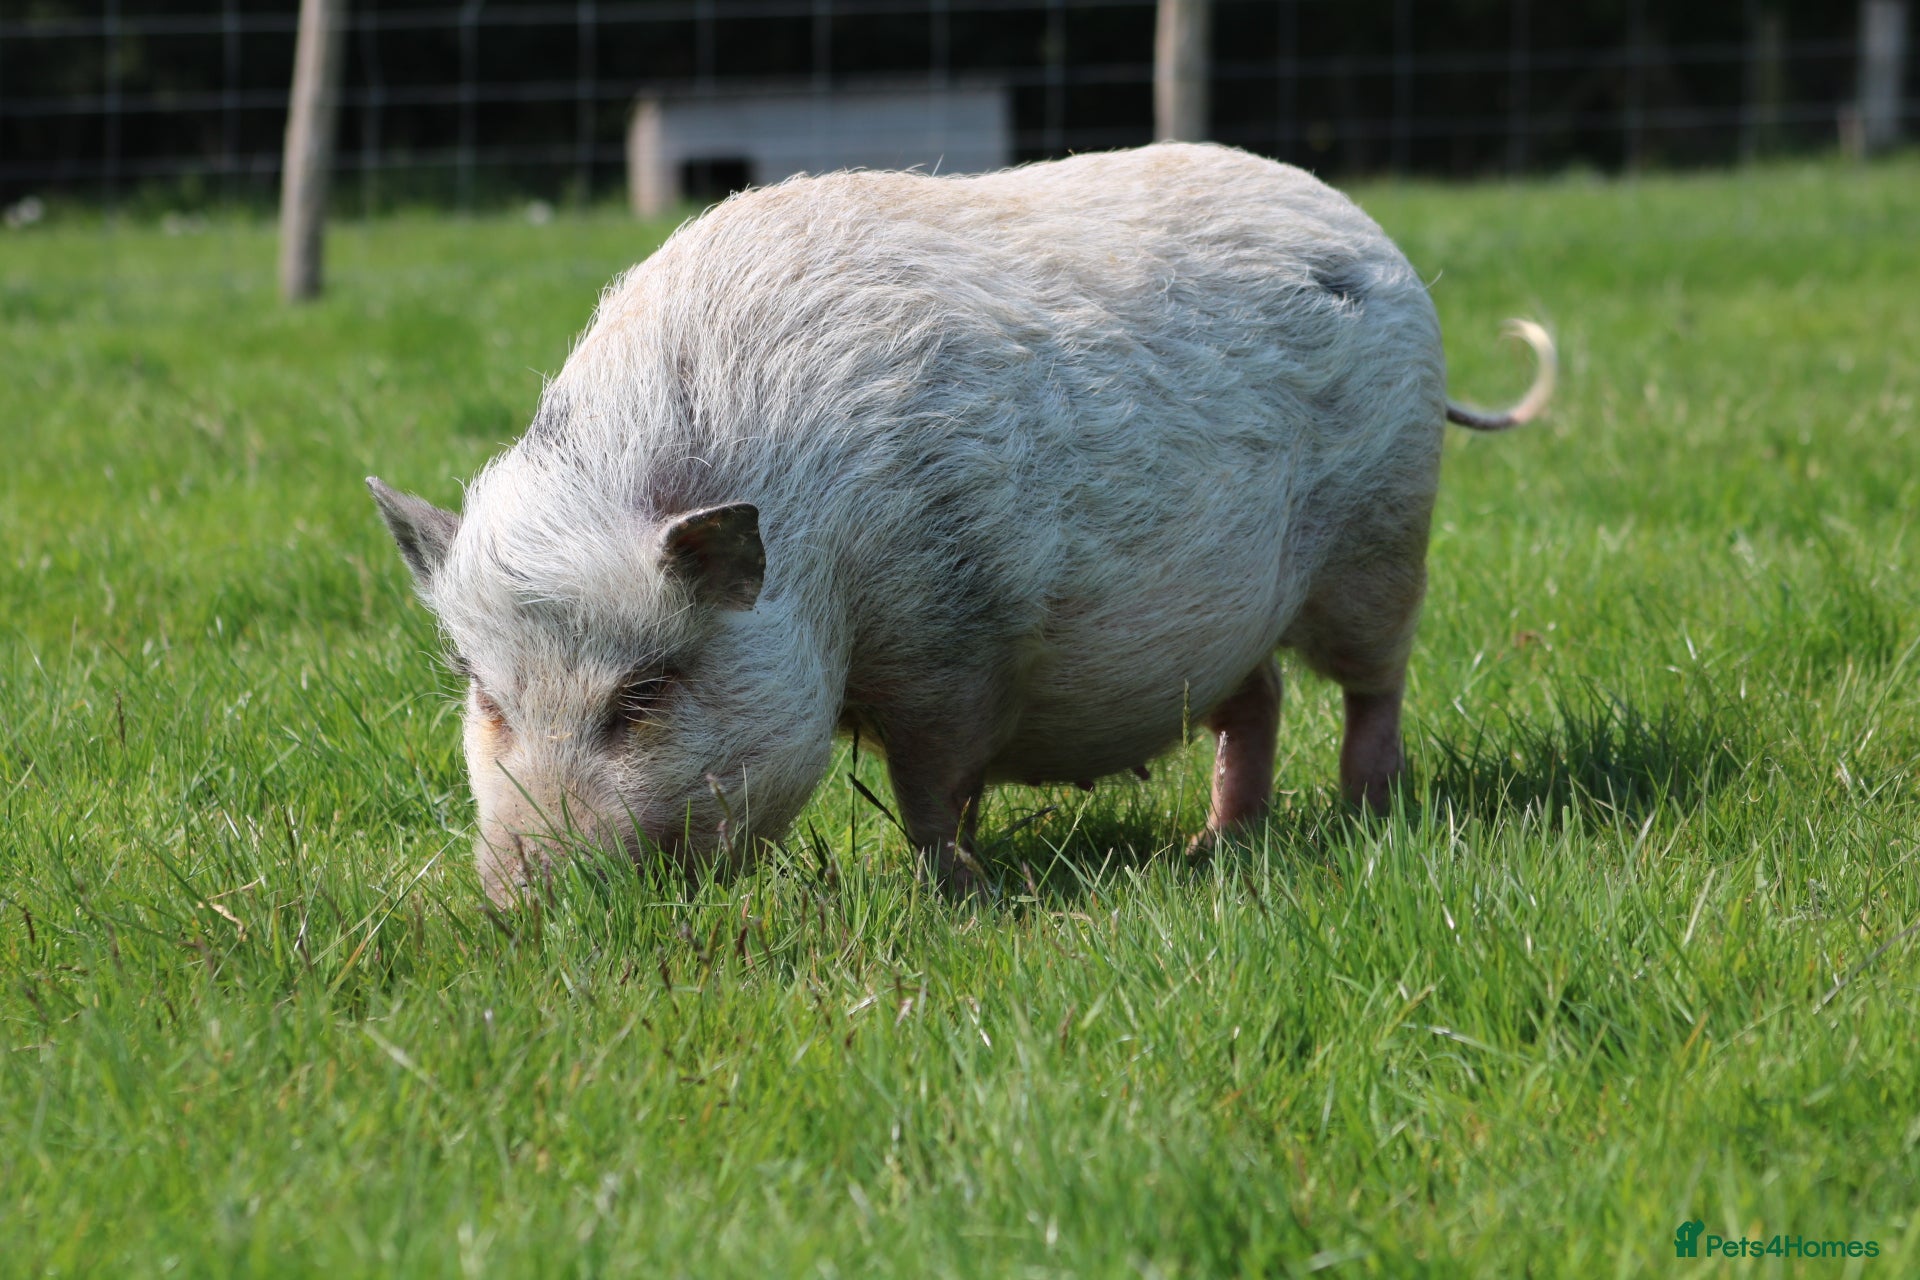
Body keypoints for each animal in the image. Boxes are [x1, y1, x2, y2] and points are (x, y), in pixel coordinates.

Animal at [368, 141, 1553, 901]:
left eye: (644, 694)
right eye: (488, 696)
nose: (521, 901)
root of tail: (1373, 238)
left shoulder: (956, 632)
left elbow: (931, 780)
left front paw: (957, 891)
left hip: (1386, 526)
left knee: (1372, 682)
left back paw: (1364, 814)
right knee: (1256, 699)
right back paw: (1212, 849)